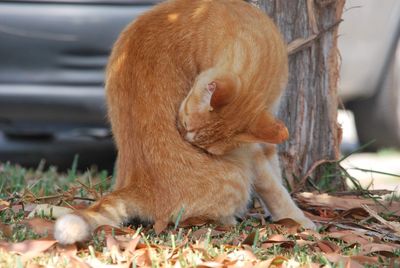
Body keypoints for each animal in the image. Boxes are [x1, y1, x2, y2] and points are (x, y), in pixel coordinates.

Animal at [54, 0, 316, 244]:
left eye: (207, 150)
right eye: (186, 128)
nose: (184, 138)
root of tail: (135, 184)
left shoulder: (266, 129)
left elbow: (275, 172)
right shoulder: (250, 151)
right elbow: (271, 186)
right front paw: (296, 219)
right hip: (237, 177)